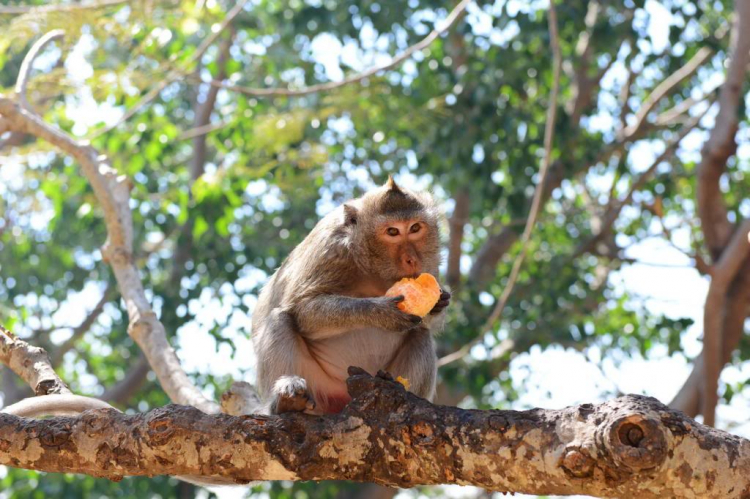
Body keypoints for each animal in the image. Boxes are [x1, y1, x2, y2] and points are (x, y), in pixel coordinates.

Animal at [253, 176, 452, 414]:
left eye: (415, 228)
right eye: (392, 232)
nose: (412, 259)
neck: (372, 269)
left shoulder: (430, 262)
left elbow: (426, 322)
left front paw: (439, 303)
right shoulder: (330, 247)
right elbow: (303, 309)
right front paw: (380, 313)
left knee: (420, 334)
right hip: (319, 389)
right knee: (280, 318)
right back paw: (285, 401)